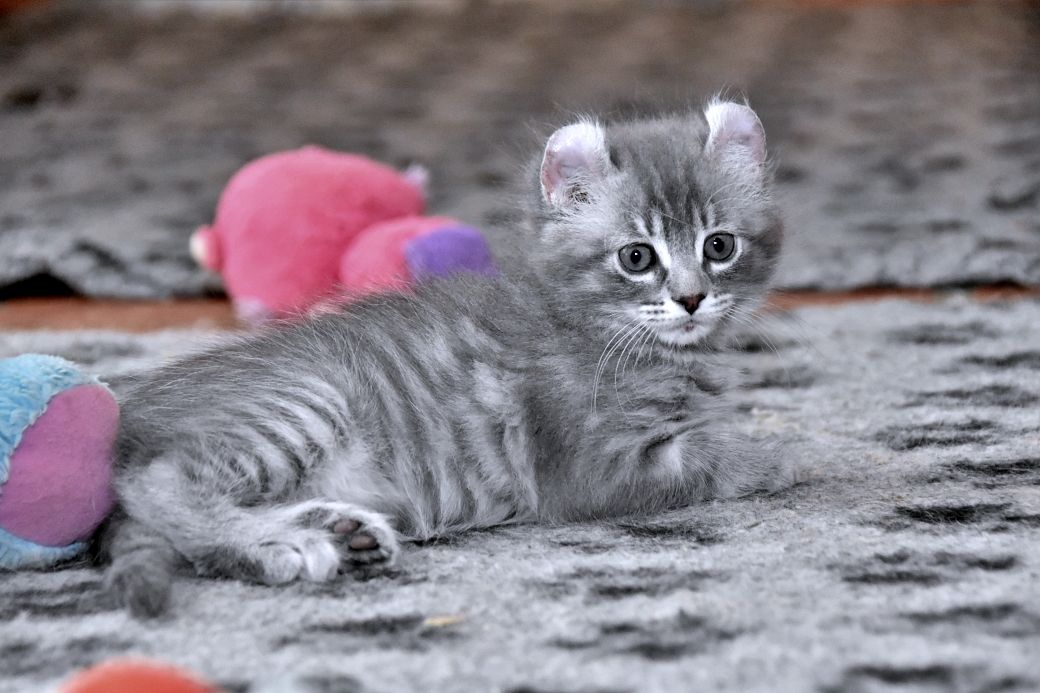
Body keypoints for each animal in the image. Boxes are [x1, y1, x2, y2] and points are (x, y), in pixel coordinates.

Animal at [101, 99, 790, 617]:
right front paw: (780, 454)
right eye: (637, 257)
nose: (691, 299)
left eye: (719, 246)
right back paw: (282, 545)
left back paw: (336, 532)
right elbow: (715, 457)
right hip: (301, 407)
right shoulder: (596, 468)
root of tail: (132, 412)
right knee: (157, 482)